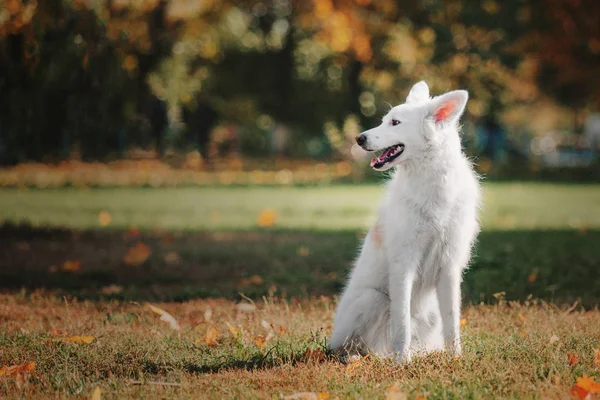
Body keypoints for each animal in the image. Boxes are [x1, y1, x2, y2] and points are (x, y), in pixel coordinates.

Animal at [330, 80, 480, 362]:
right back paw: (362, 358)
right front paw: (402, 362)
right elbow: (402, 323)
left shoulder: (449, 267)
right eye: (384, 120)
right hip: (372, 300)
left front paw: (455, 358)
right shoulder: (404, 264)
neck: (429, 181)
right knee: (353, 346)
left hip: (429, 312)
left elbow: (452, 322)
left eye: (395, 123)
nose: (359, 138)